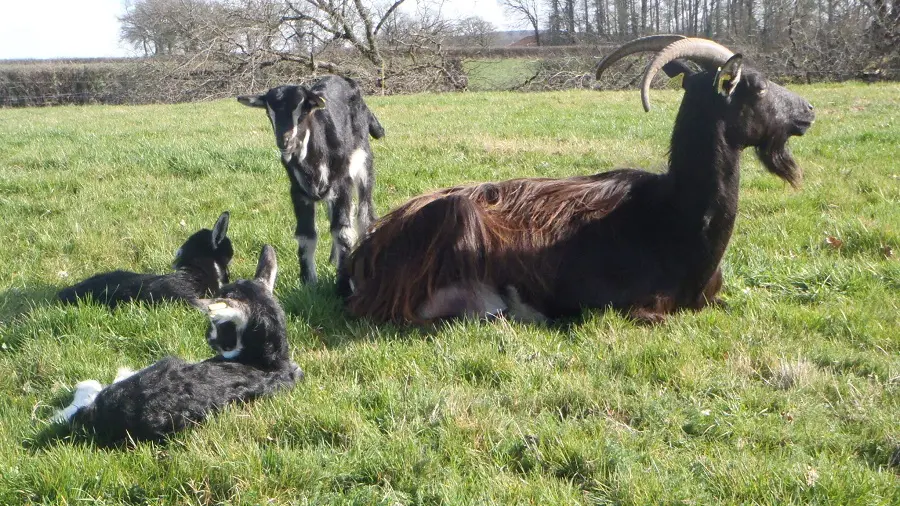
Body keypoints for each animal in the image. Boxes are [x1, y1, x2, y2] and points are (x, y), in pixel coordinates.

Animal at [342, 37, 816, 326]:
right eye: (757, 86)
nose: (808, 110)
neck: (673, 216)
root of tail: (365, 252)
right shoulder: (630, 307)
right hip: (455, 219)